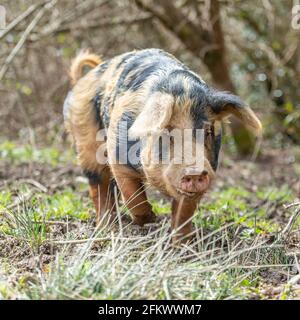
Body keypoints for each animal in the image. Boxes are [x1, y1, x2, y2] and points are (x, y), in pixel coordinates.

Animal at [64, 48, 262, 242]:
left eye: (207, 132)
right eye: (166, 132)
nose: (195, 172)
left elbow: (184, 213)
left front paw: (182, 243)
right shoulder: (117, 156)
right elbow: (132, 195)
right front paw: (151, 220)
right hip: (86, 142)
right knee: (99, 186)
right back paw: (106, 228)